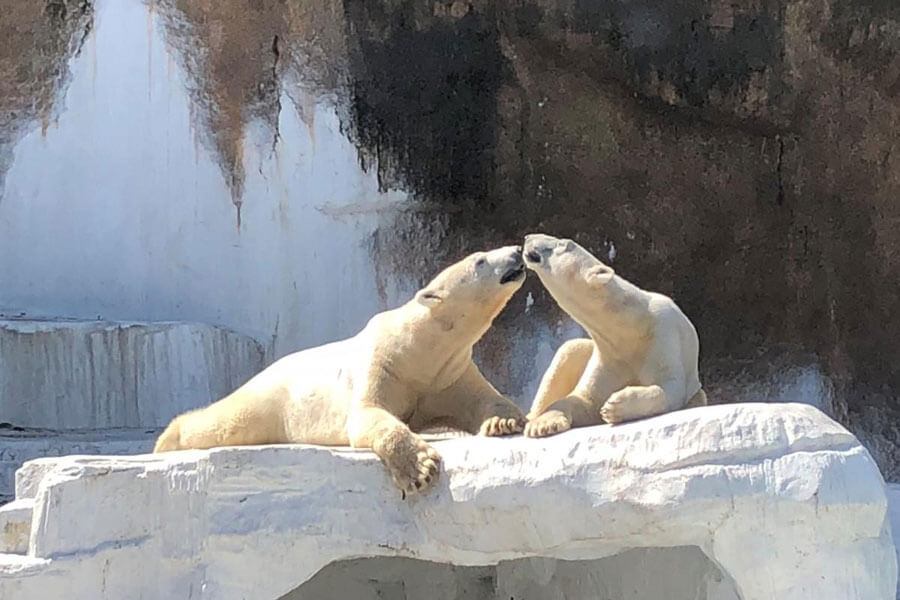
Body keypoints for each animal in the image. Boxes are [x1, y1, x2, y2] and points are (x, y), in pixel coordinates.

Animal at [151, 245, 524, 496]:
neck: (419, 348)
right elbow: (368, 415)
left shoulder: (449, 373)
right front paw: (420, 468)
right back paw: (167, 439)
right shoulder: (383, 364)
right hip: (272, 399)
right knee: (226, 421)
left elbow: (483, 400)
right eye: (480, 260)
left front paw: (504, 422)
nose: (517, 251)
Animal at [524, 232, 708, 438]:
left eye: (563, 243)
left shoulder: (662, 335)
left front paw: (614, 405)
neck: (630, 326)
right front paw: (543, 424)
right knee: (569, 349)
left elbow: (669, 387)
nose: (528, 237)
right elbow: (583, 399)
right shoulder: (609, 355)